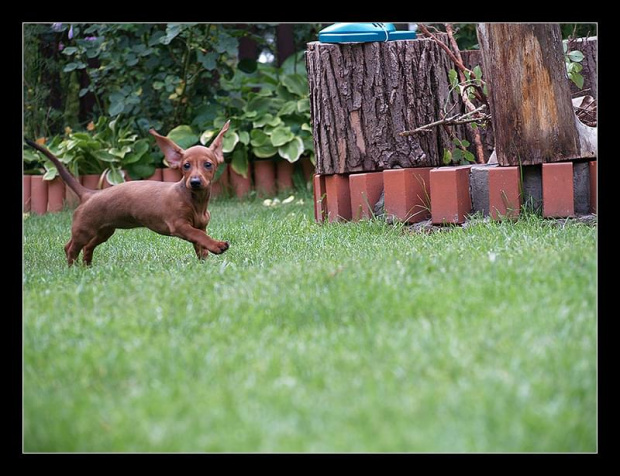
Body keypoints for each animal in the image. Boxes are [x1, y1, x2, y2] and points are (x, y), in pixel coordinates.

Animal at [25, 121, 231, 266]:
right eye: (186, 166)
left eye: (208, 164)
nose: (195, 182)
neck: (194, 200)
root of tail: (89, 194)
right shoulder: (180, 226)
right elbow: (199, 237)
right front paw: (217, 246)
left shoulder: (201, 226)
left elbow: (200, 243)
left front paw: (205, 261)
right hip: (84, 230)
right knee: (70, 248)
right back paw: (72, 269)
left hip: (104, 231)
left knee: (87, 247)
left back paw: (87, 268)